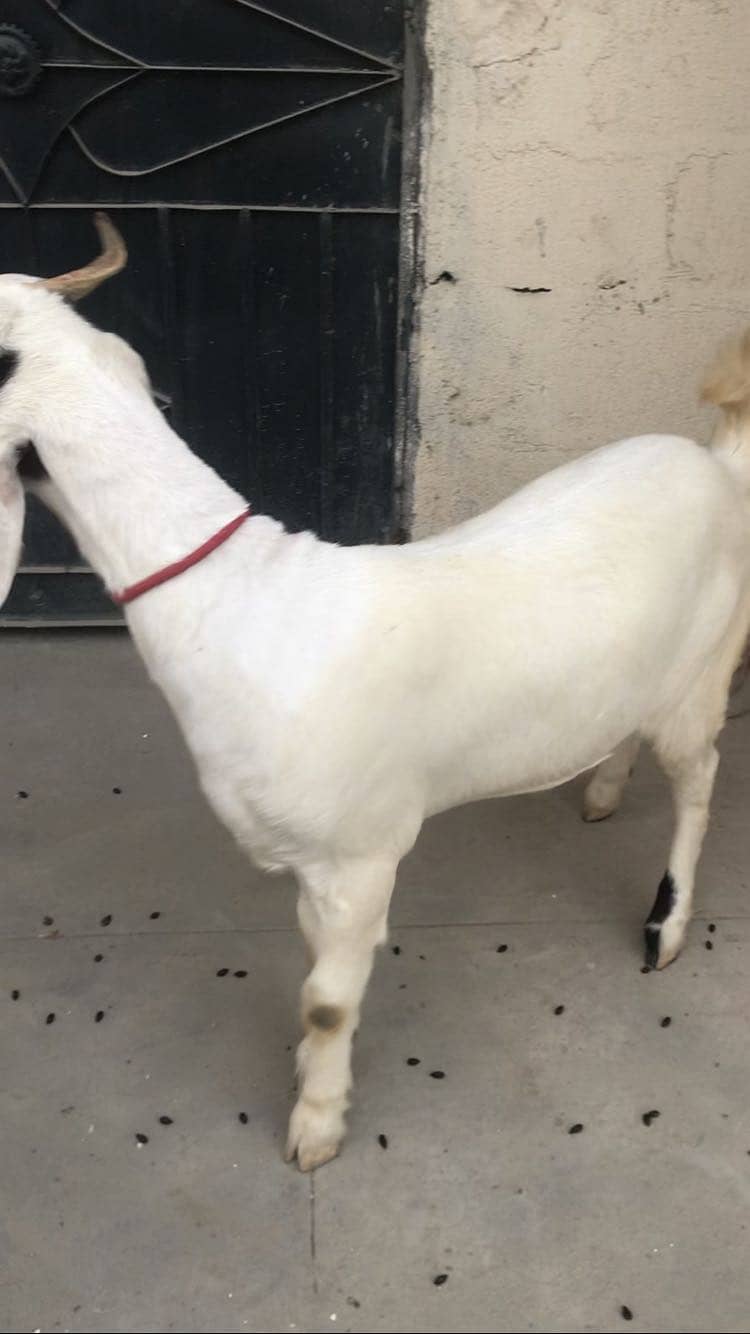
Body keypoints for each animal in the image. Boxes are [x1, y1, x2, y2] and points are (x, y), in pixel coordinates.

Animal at [1, 216, 749, 1171]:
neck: (247, 603)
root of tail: (723, 466)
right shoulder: (315, 864)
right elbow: (316, 967)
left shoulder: (361, 855)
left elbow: (326, 1000)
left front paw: (315, 1128)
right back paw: (604, 791)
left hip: (704, 671)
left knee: (698, 783)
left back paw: (667, 928)